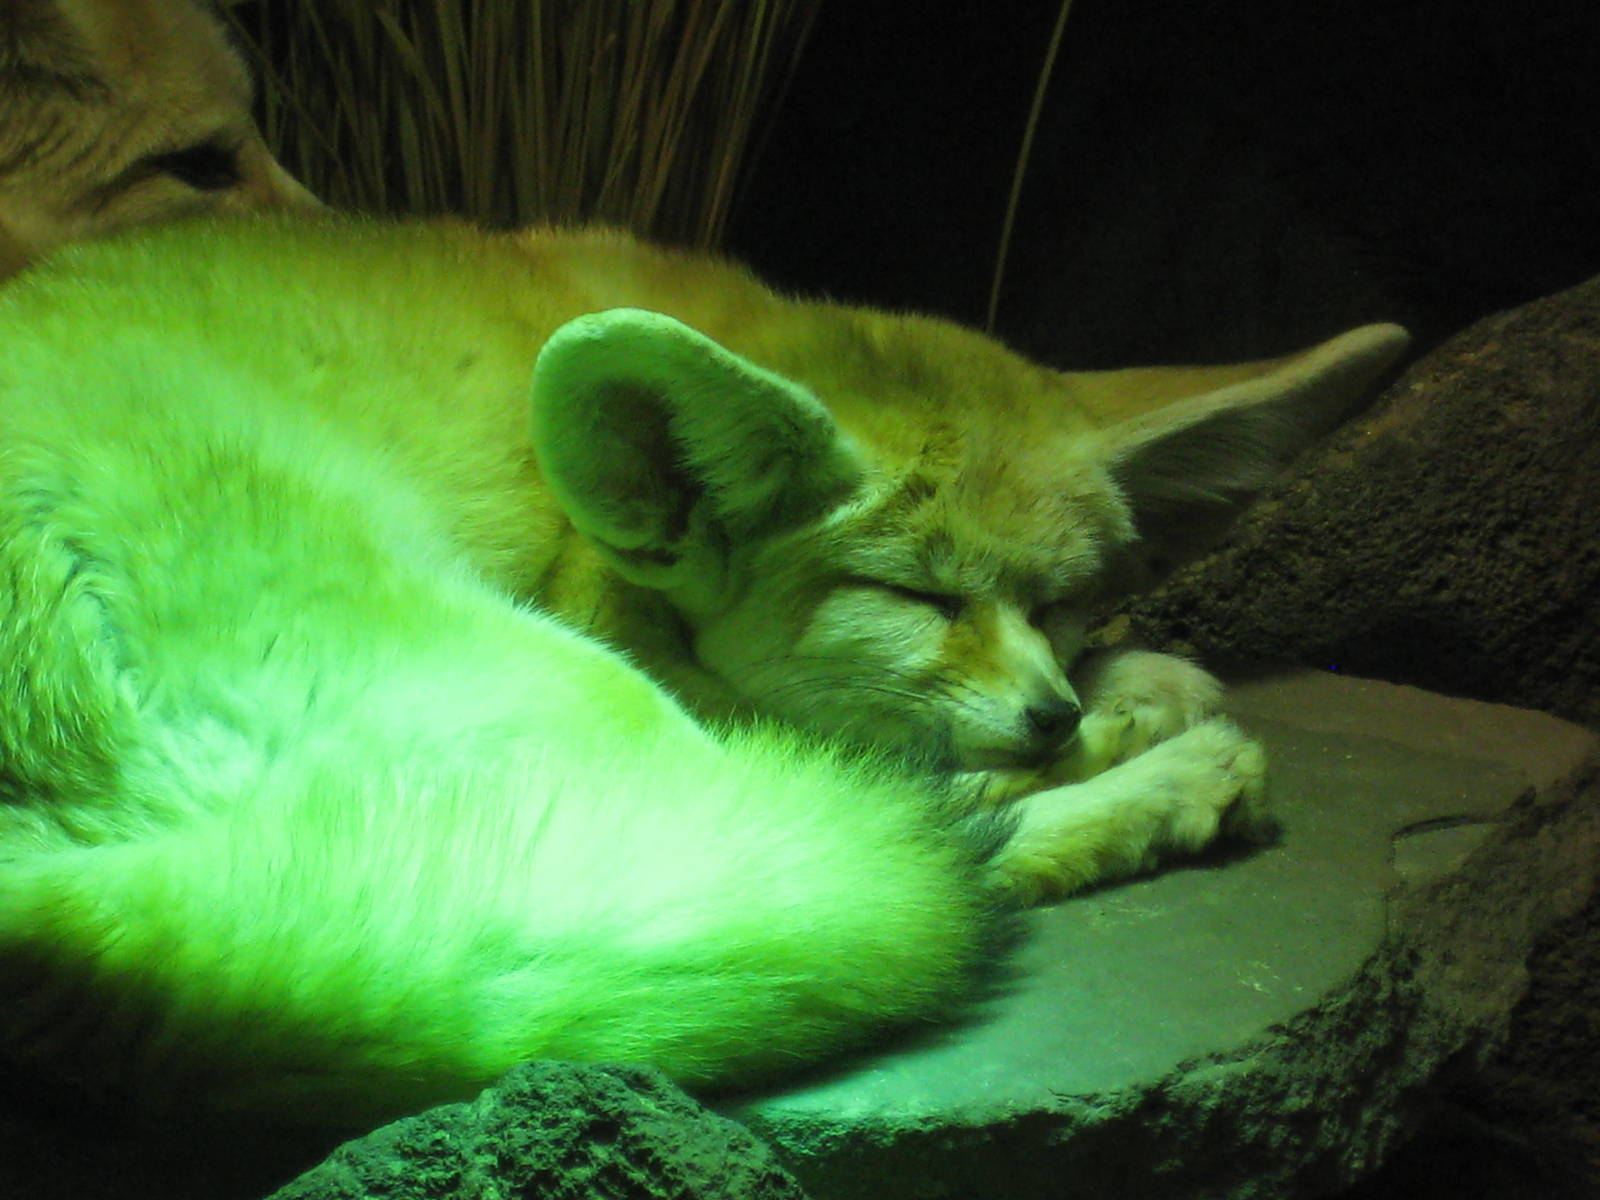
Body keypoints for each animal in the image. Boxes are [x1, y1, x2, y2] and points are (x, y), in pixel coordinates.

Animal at [0, 215, 1407, 1127]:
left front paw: (1121, 680)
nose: (1053, 709)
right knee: (904, 826)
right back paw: (1168, 780)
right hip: (578, 702)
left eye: (1058, 602)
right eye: (916, 597)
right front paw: (1135, 714)